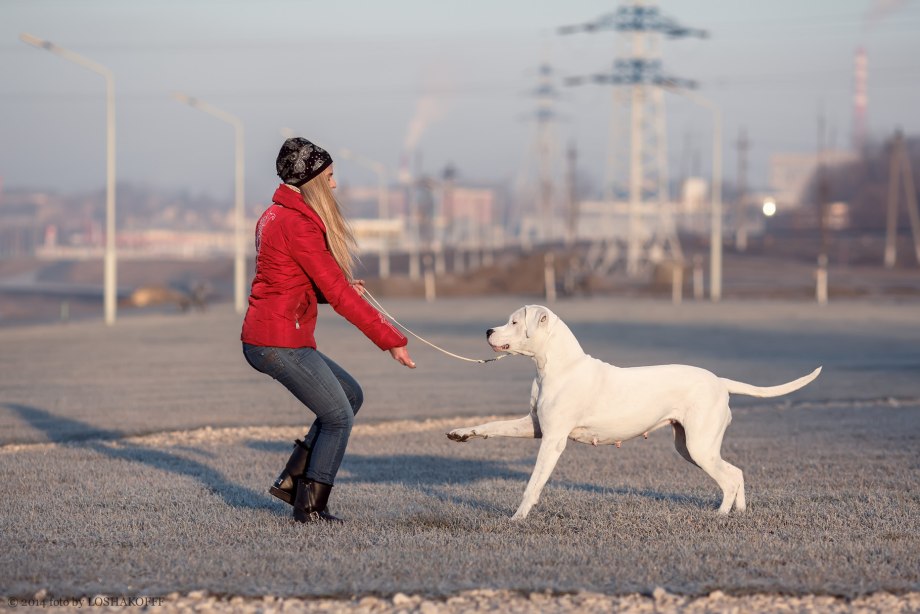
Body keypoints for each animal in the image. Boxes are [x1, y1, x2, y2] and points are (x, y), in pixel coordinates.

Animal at [446, 306, 820, 524]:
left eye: (513, 321)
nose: (487, 331)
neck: (555, 366)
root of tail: (720, 381)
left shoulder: (552, 440)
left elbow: (533, 483)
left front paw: (518, 518)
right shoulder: (533, 427)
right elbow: (494, 425)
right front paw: (461, 434)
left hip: (699, 447)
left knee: (728, 478)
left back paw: (720, 514)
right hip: (689, 446)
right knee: (737, 472)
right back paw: (738, 513)